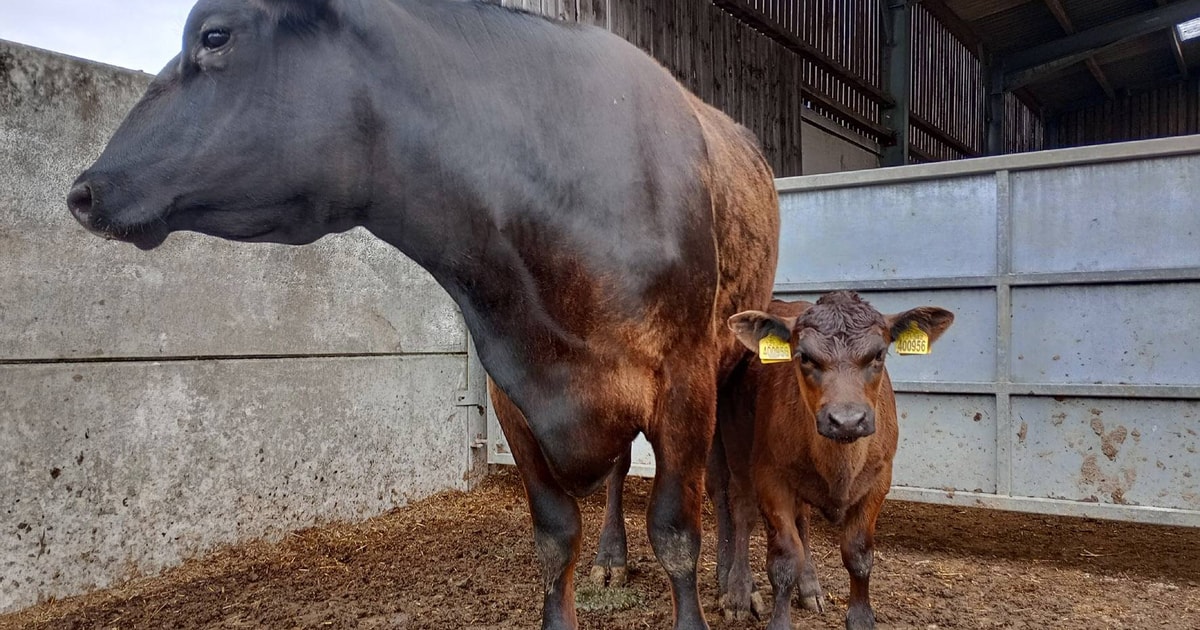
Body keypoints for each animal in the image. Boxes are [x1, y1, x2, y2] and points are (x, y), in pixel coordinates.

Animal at [65, 1, 780, 628]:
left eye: (214, 35)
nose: (82, 190)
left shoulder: (684, 379)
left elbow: (677, 533)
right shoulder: (512, 390)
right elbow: (554, 539)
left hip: (732, 361)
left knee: (727, 481)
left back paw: (737, 586)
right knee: (615, 475)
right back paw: (612, 558)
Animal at [721, 293, 954, 630]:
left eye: (878, 354)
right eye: (804, 356)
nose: (847, 421)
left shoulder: (879, 479)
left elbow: (858, 553)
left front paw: (861, 619)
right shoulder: (770, 475)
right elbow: (784, 558)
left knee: (802, 521)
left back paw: (809, 588)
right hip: (735, 442)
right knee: (744, 510)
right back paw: (738, 593)